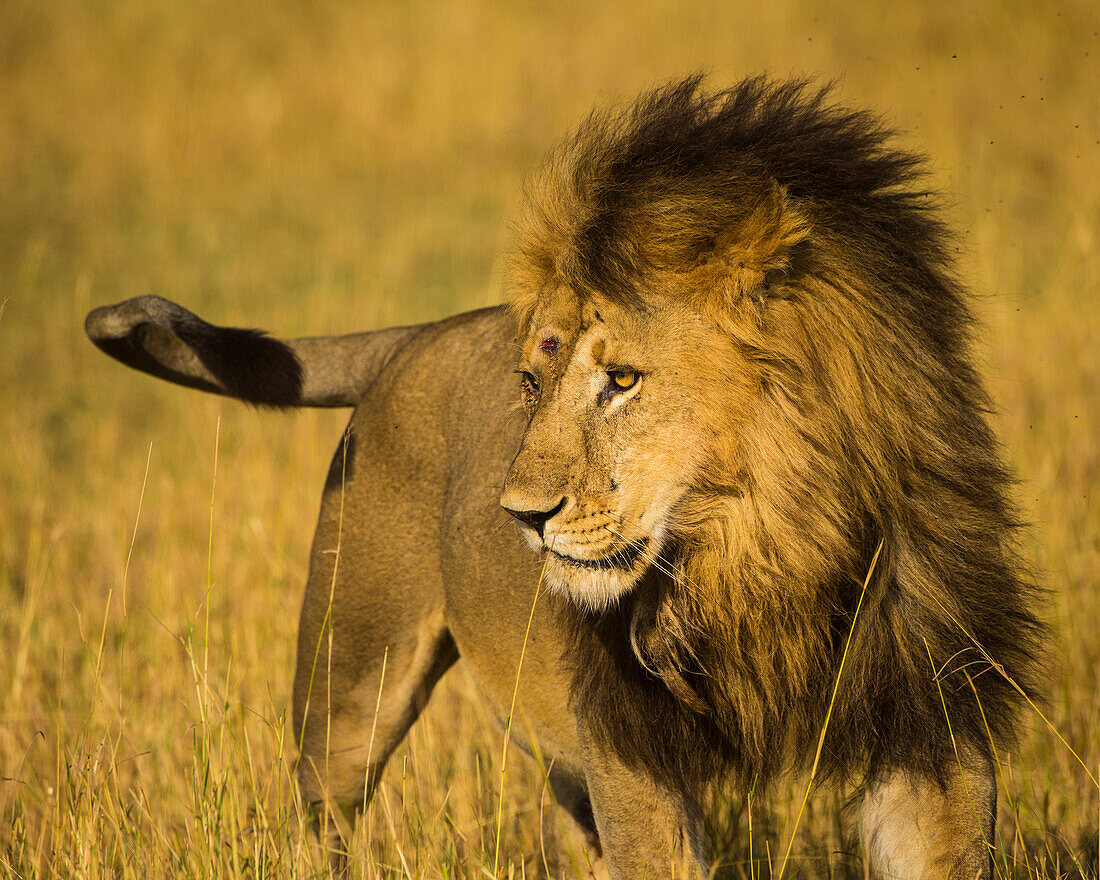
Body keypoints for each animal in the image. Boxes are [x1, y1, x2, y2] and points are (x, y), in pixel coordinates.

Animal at [85, 77, 1038, 880]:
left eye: (623, 380)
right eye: (531, 384)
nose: (520, 515)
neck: (762, 549)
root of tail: (421, 333)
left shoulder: (933, 717)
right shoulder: (630, 754)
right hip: (349, 673)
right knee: (323, 814)